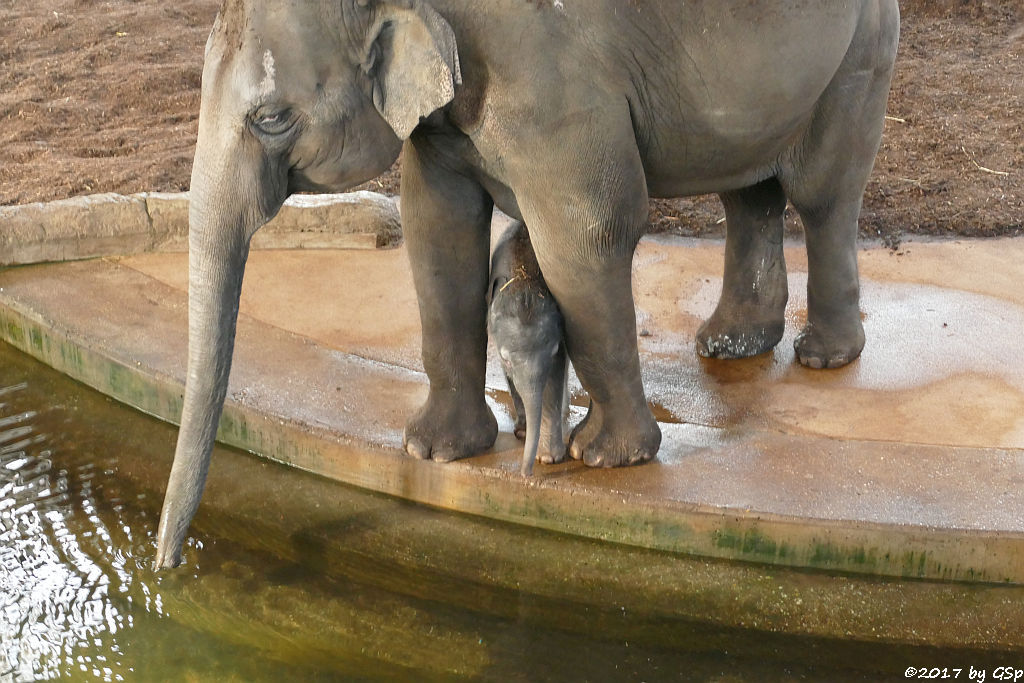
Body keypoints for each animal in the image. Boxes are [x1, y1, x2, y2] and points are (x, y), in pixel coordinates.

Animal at [485, 223, 569, 475]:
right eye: (506, 360)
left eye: (553, 352)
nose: (525, 474)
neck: (524, 283)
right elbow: (512, 380)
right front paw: (522, 432)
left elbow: (553, 381)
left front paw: (549, 459)